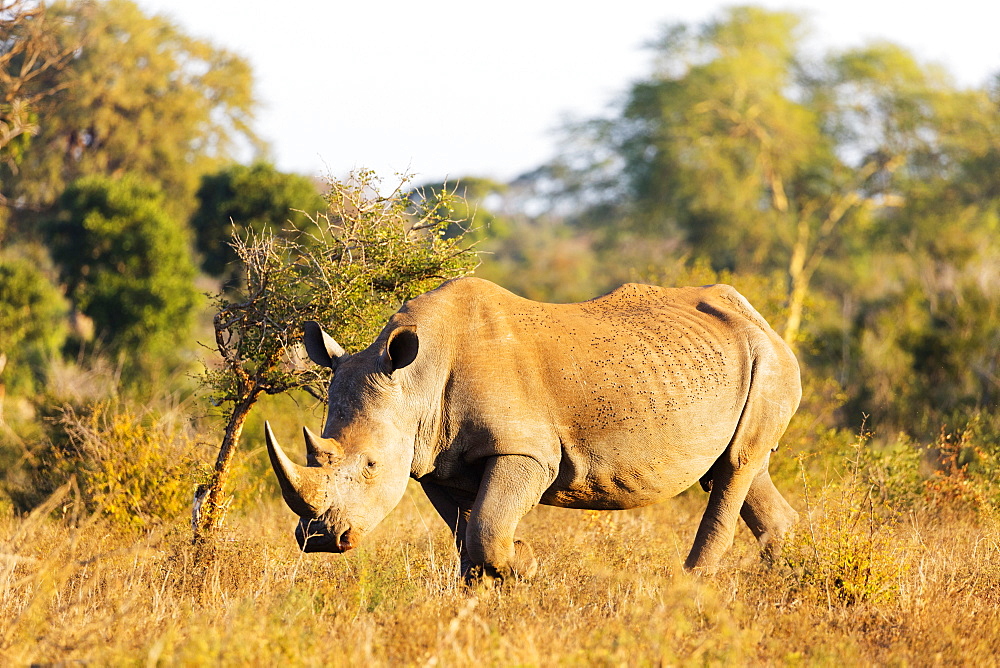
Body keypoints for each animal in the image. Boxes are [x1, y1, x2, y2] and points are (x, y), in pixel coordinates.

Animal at [262, 276, 800, 580]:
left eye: (372, 465)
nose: (319, 540)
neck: (415, 380)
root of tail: (760, 318)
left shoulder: (525, 450)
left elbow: (487, 526)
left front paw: (526, 562)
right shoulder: (433, 460)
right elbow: (468, 533)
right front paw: (481, 591)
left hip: (769, 359)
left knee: (734, 467)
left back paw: (689, 588)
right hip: (730, 363)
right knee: (740, 470)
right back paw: (787, 574)